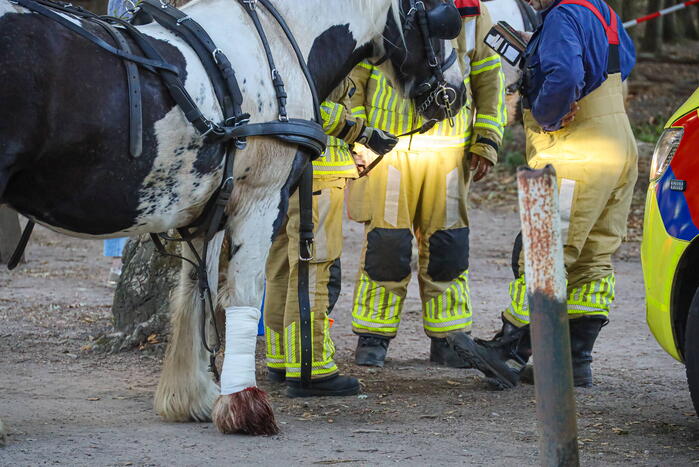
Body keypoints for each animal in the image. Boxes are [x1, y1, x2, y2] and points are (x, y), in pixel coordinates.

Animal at [0, 0, 467, 440]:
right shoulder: (261, 199)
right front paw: (244, 406)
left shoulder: (210, 212)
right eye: (446, 16)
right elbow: (243, 294)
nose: (456, 92)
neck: (280, 44)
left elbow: (195, 291)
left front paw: (192, 395)